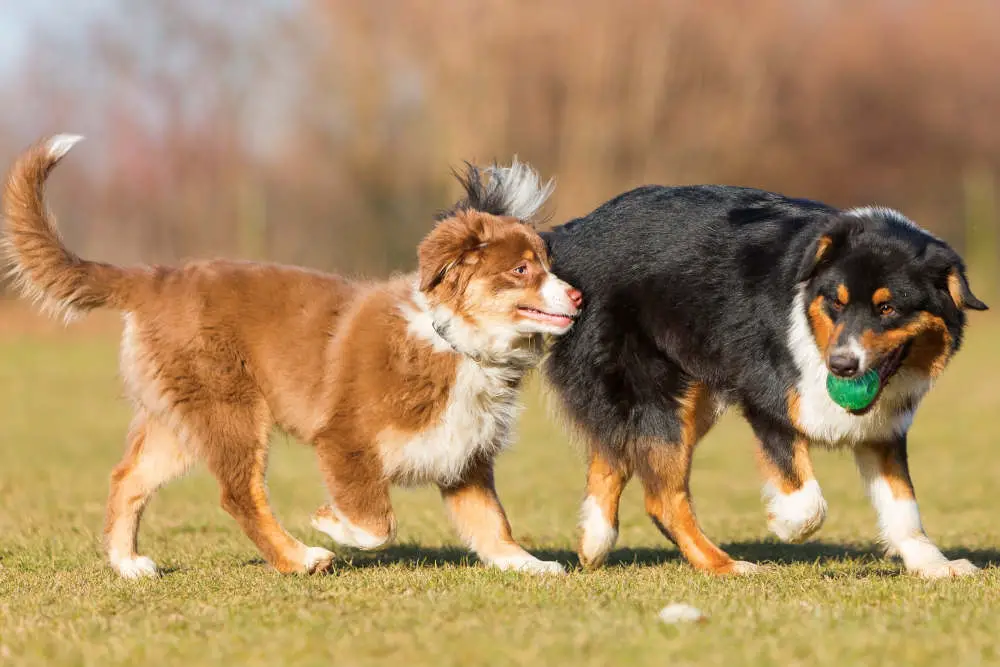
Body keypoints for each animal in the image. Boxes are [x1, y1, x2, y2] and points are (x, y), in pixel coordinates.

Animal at [1, 136, 580, 580]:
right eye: (522, 270)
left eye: (547, 263)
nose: (577, 297)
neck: (455, 342)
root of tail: (154, 278)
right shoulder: (345, 440)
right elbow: (376, 523)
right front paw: (329, 522)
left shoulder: (464, 457)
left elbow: (492, 522)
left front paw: (528, 563)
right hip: (230, 409)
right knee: (238, 494)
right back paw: (300, 559)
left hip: (181, 417)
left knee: (127, 478)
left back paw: (127, 564)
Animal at [540, 185, 984, 576]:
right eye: (836, 303)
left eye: (888, 308)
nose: (841, 366)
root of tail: (569, 234)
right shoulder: (768, 401)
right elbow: (809, 503)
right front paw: (784, 523)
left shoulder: (883, 428)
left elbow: (902, 503)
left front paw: (934, 565)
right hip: (652, 395)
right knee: (661, 496)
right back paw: (725, 565)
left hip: (684, 398)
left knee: (612, 456)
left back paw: (595, 541)